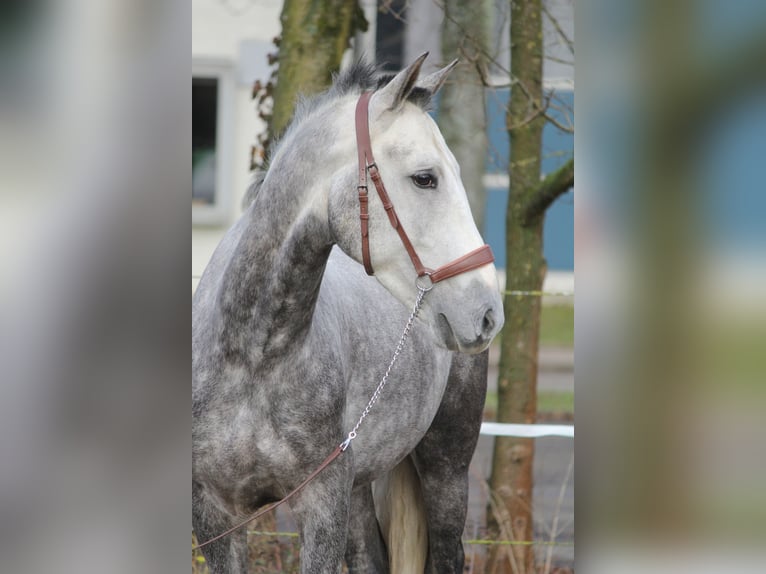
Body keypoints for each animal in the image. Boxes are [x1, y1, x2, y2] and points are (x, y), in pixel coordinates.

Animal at [192, 55, 508, 574]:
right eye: (425, 177)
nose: (487, 313)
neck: (252, 355)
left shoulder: (322, 503)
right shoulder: (216, 514)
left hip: (446, 469)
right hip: (360, 488)